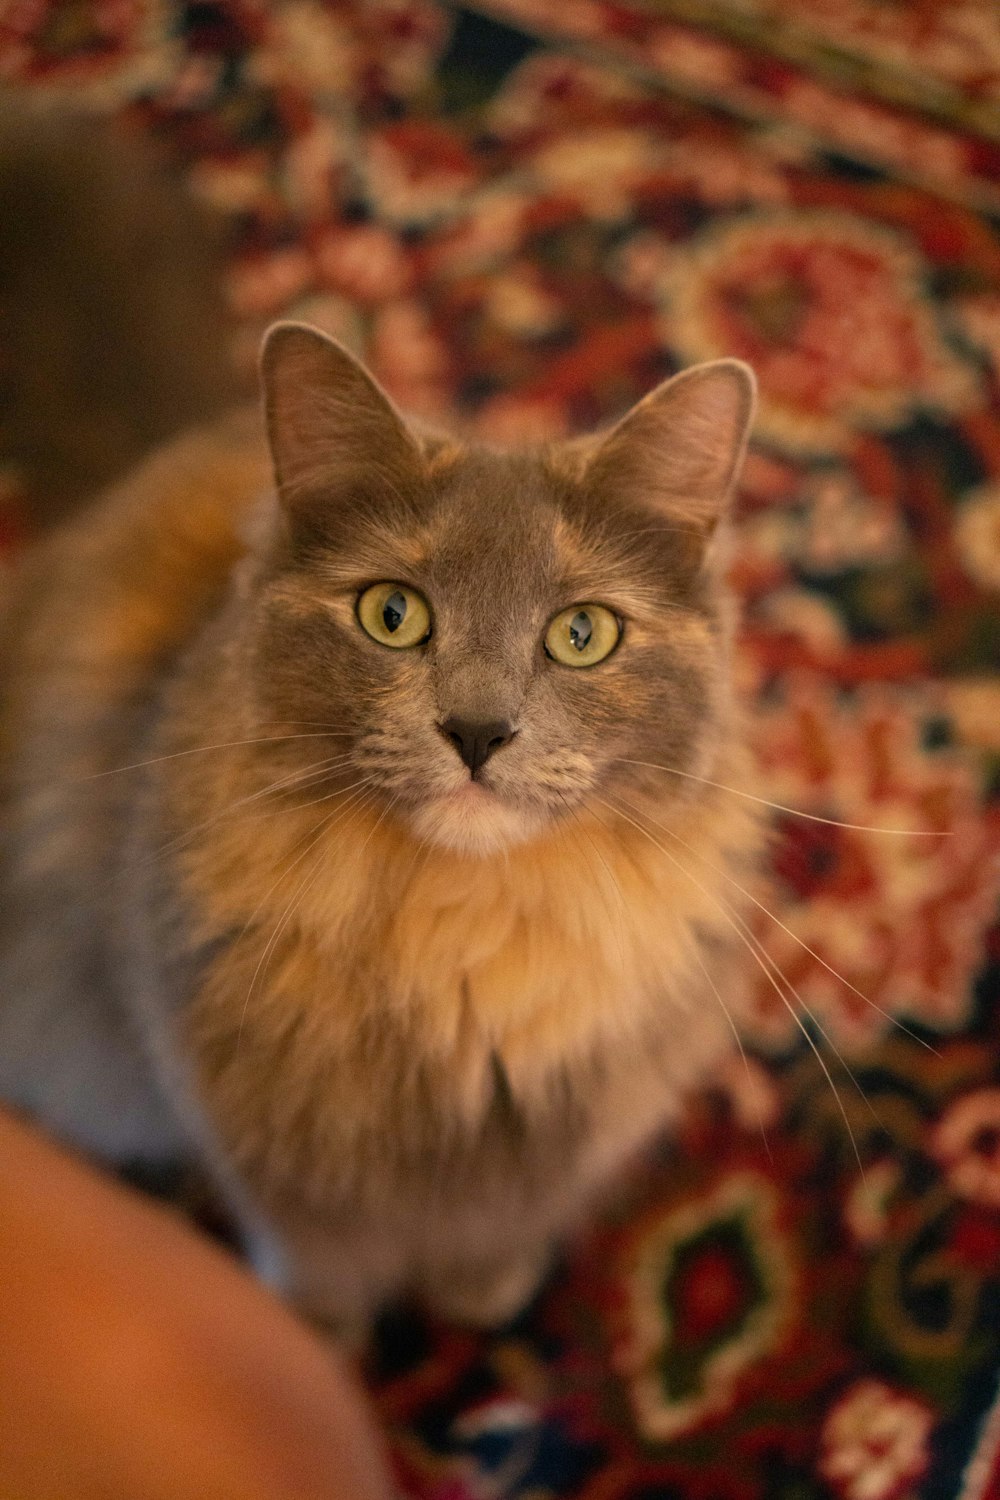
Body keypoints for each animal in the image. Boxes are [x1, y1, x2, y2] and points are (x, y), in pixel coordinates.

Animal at [0, 129, 758, 1332]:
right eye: (393, 615)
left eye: (581, 634)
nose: (478, 732)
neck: (457, 948)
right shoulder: (278, 1177)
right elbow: (317, 1276)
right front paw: (318, 1348)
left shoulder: (552, 1153)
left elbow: (499, 1234)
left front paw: (480, 1299)